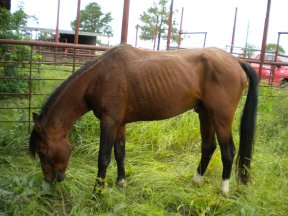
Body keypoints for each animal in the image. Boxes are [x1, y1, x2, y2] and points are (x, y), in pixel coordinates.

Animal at [29, 45, 258, 194]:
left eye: (43, 152)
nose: (50, 181)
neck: (99, 77)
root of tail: (236, 61)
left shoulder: (109, 122)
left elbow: (104, 157)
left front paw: (98, 191)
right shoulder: (119, 123)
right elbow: (120, 152)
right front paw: (121, 183)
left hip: (221, 117)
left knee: (228, 151)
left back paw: (224, 189)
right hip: (205, 114)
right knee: (208, 147)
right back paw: (197, 180)